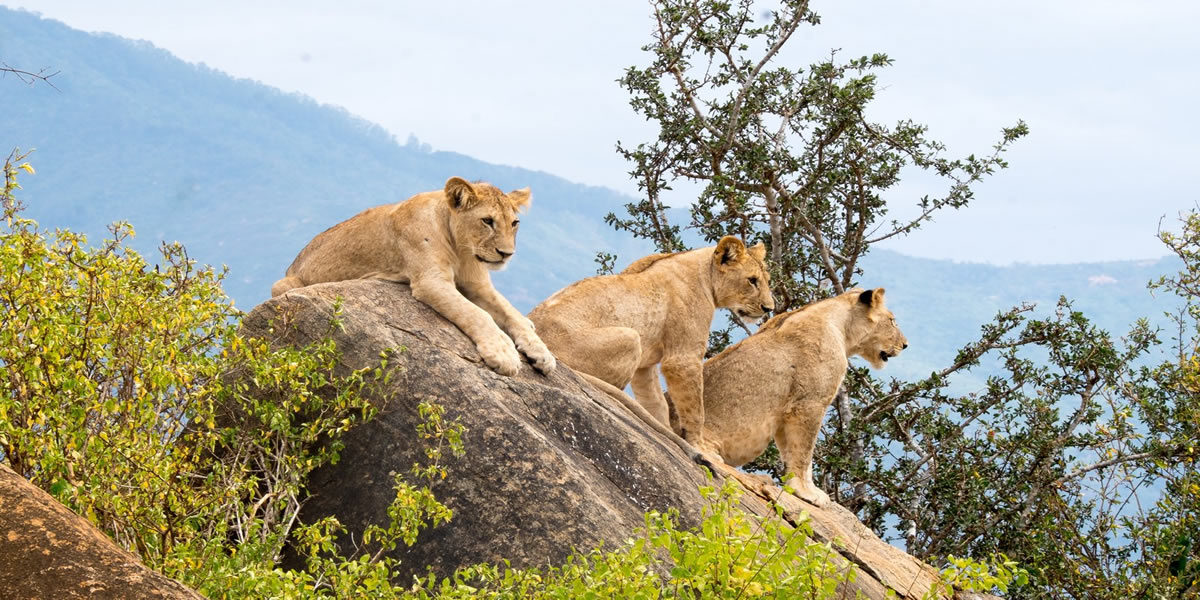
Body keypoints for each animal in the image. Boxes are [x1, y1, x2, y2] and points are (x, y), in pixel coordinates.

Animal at [271, 177, 555, 377]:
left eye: (514, 223)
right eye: (487, 221)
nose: (506, 254)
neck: (461, 248)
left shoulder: (478, 284)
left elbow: (509, 312)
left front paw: (541, 353)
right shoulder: (430, 281)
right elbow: (477, 314)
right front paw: (503, 353)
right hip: (283, 284)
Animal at [529, 236, 775, 461]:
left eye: (766, 280)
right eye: (752, 281)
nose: (769, 308)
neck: (705, 273)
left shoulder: (645, 366)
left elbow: (656, 403)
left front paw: (666, 433)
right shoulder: (682, 359)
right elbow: (696, 409)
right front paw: (701, 447)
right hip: (631, 337)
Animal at [700, 287, 907, 506]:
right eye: (892, 321)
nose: (905, 345)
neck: (842, 329)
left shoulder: (787, 412)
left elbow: (792, 453)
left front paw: (800, 488)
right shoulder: (808, 404)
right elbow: (804, 453)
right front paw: (806, 492)